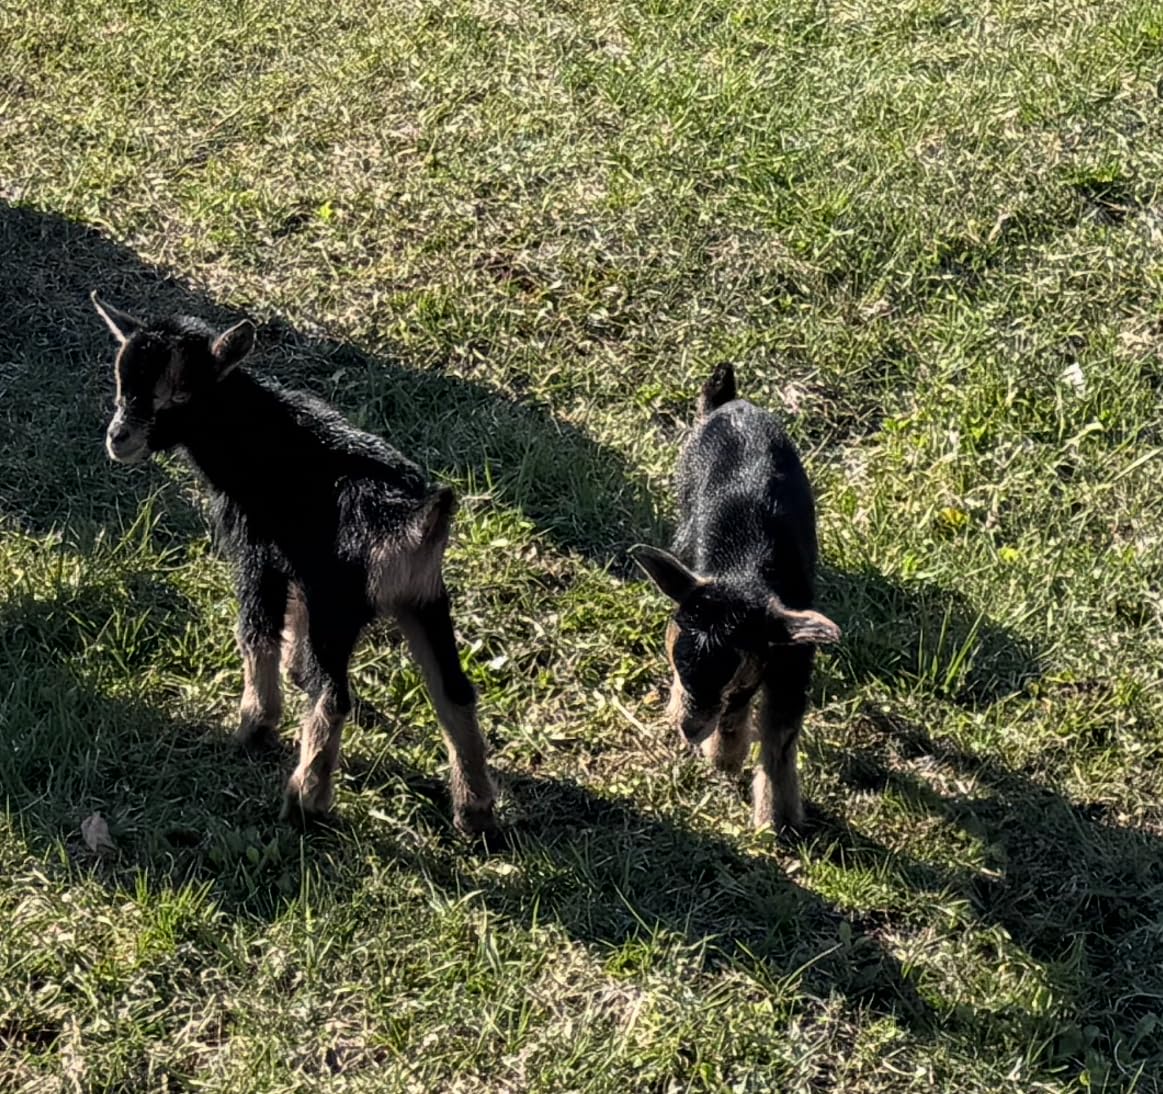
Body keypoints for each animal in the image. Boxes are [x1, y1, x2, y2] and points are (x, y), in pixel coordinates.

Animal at [92, 293, 496, 835]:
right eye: (123, 383)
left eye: (178, 394)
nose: (119, 438)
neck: (258, 435)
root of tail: (410, 523)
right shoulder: (301, 563)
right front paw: (292, 672)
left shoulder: (257, 553)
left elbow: (256, 630)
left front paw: (255, 724)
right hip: (427, 600)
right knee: (454, 691)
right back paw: (476, 810)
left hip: (340, 609)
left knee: (336, 697)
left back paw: (306, 800)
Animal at [631, 364, 840, 833]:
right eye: (678, 663)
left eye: (733, 671)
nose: (689, 730)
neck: (747, 572)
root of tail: (728, 401)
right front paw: (724, 759)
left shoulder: (790, 664)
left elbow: (778, 739)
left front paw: (776, 820)